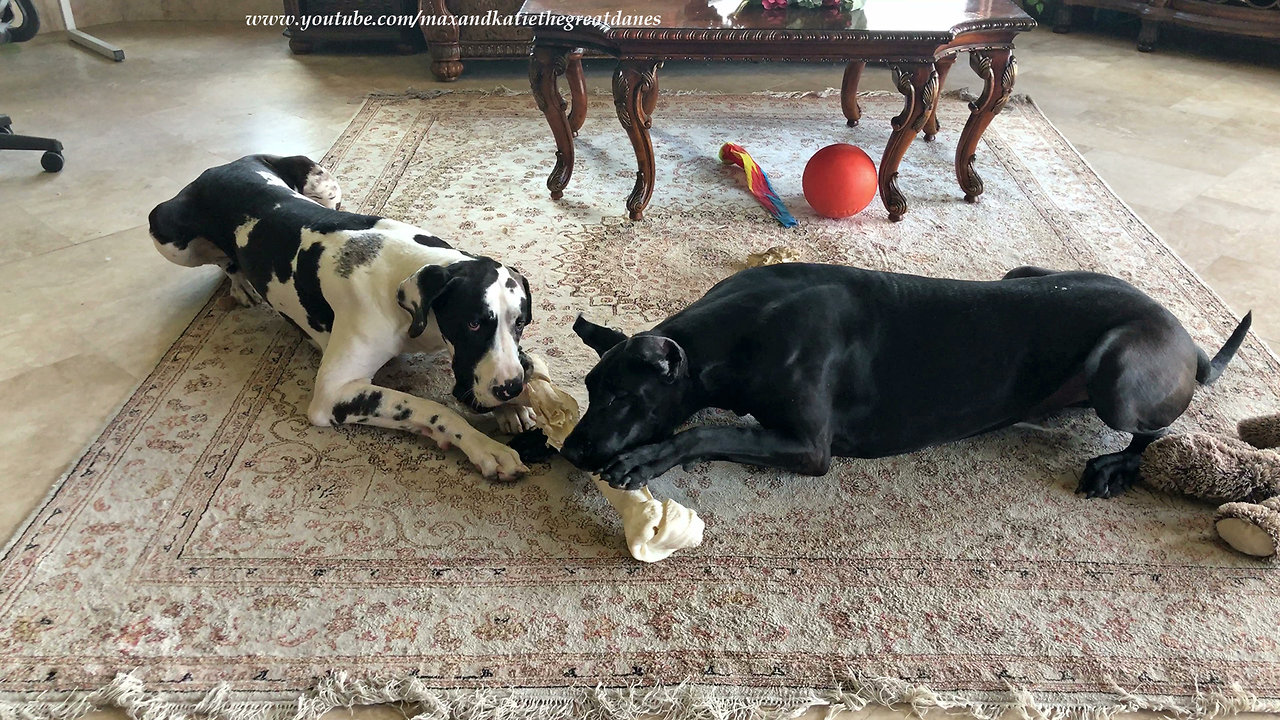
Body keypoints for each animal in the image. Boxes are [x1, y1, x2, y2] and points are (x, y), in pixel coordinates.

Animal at [149, 154, 535, 479]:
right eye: (473, 323)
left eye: (520, 323)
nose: (510, 388)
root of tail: (224, 166)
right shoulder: (333, 394)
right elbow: (428, 406)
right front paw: (484, 446)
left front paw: (513, 405)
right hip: (169, 237)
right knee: (220, 260)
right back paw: (239, 281)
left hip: (326, 187)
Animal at [560, 260, 1249, 497]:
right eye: (592, 391)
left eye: (622, 397)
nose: (568, 451)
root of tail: (1188, 339)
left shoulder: (810, 447)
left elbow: (703, 434)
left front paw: (644, 461)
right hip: (1023, 275)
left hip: (1119, 368)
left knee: (1156, 431)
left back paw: (1117, 467)